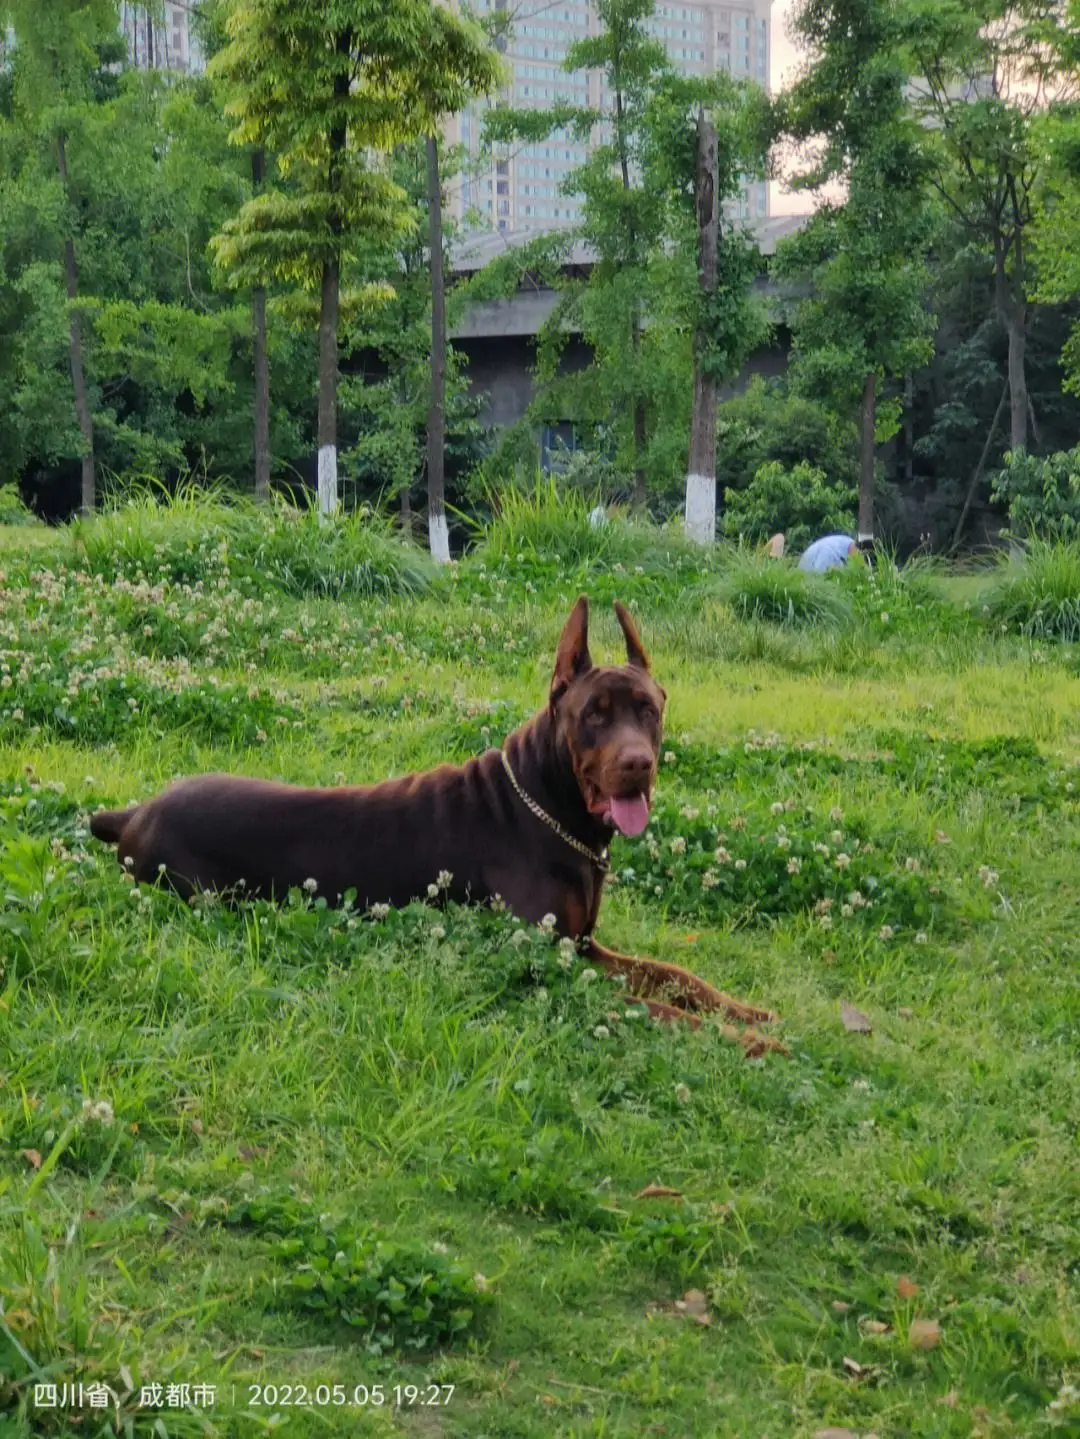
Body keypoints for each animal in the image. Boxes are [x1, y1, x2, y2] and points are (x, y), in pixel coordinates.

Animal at [92, 595, 782, 1059]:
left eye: (648, 709)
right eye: (594, 714)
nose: (638, 764)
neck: (549, 808)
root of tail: (137, 811)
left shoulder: (583, 948)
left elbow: (677, 978)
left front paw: (748, 1012)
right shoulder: (546, 964)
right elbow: (661, 1009)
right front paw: (744, 1040)